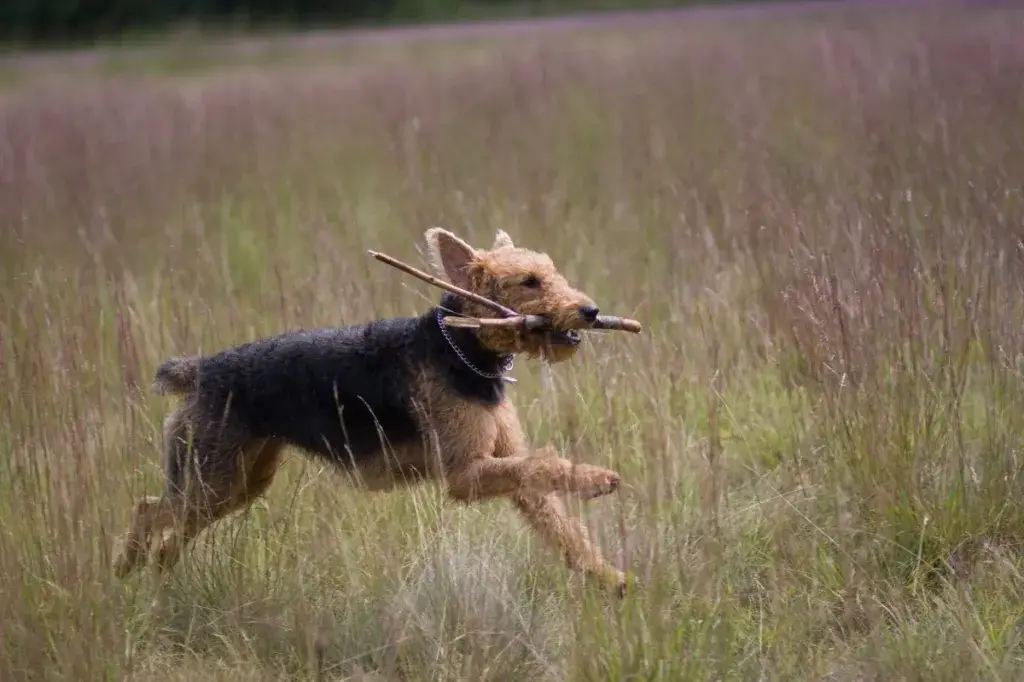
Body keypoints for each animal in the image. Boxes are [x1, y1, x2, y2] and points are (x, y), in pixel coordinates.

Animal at [112, 227, 622, 589]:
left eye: (551, 273)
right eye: (529, 282)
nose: (591, 311)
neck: (461, 349)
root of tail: (200, 370)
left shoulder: (505, 465)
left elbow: (555, 514)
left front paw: (608, 576)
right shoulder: (466, 472)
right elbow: (543, 466)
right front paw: (598, 479)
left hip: (237, 482)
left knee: (168, 530)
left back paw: (155, 574)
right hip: (211, 478)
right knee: (145, 509)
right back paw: (125, 570)